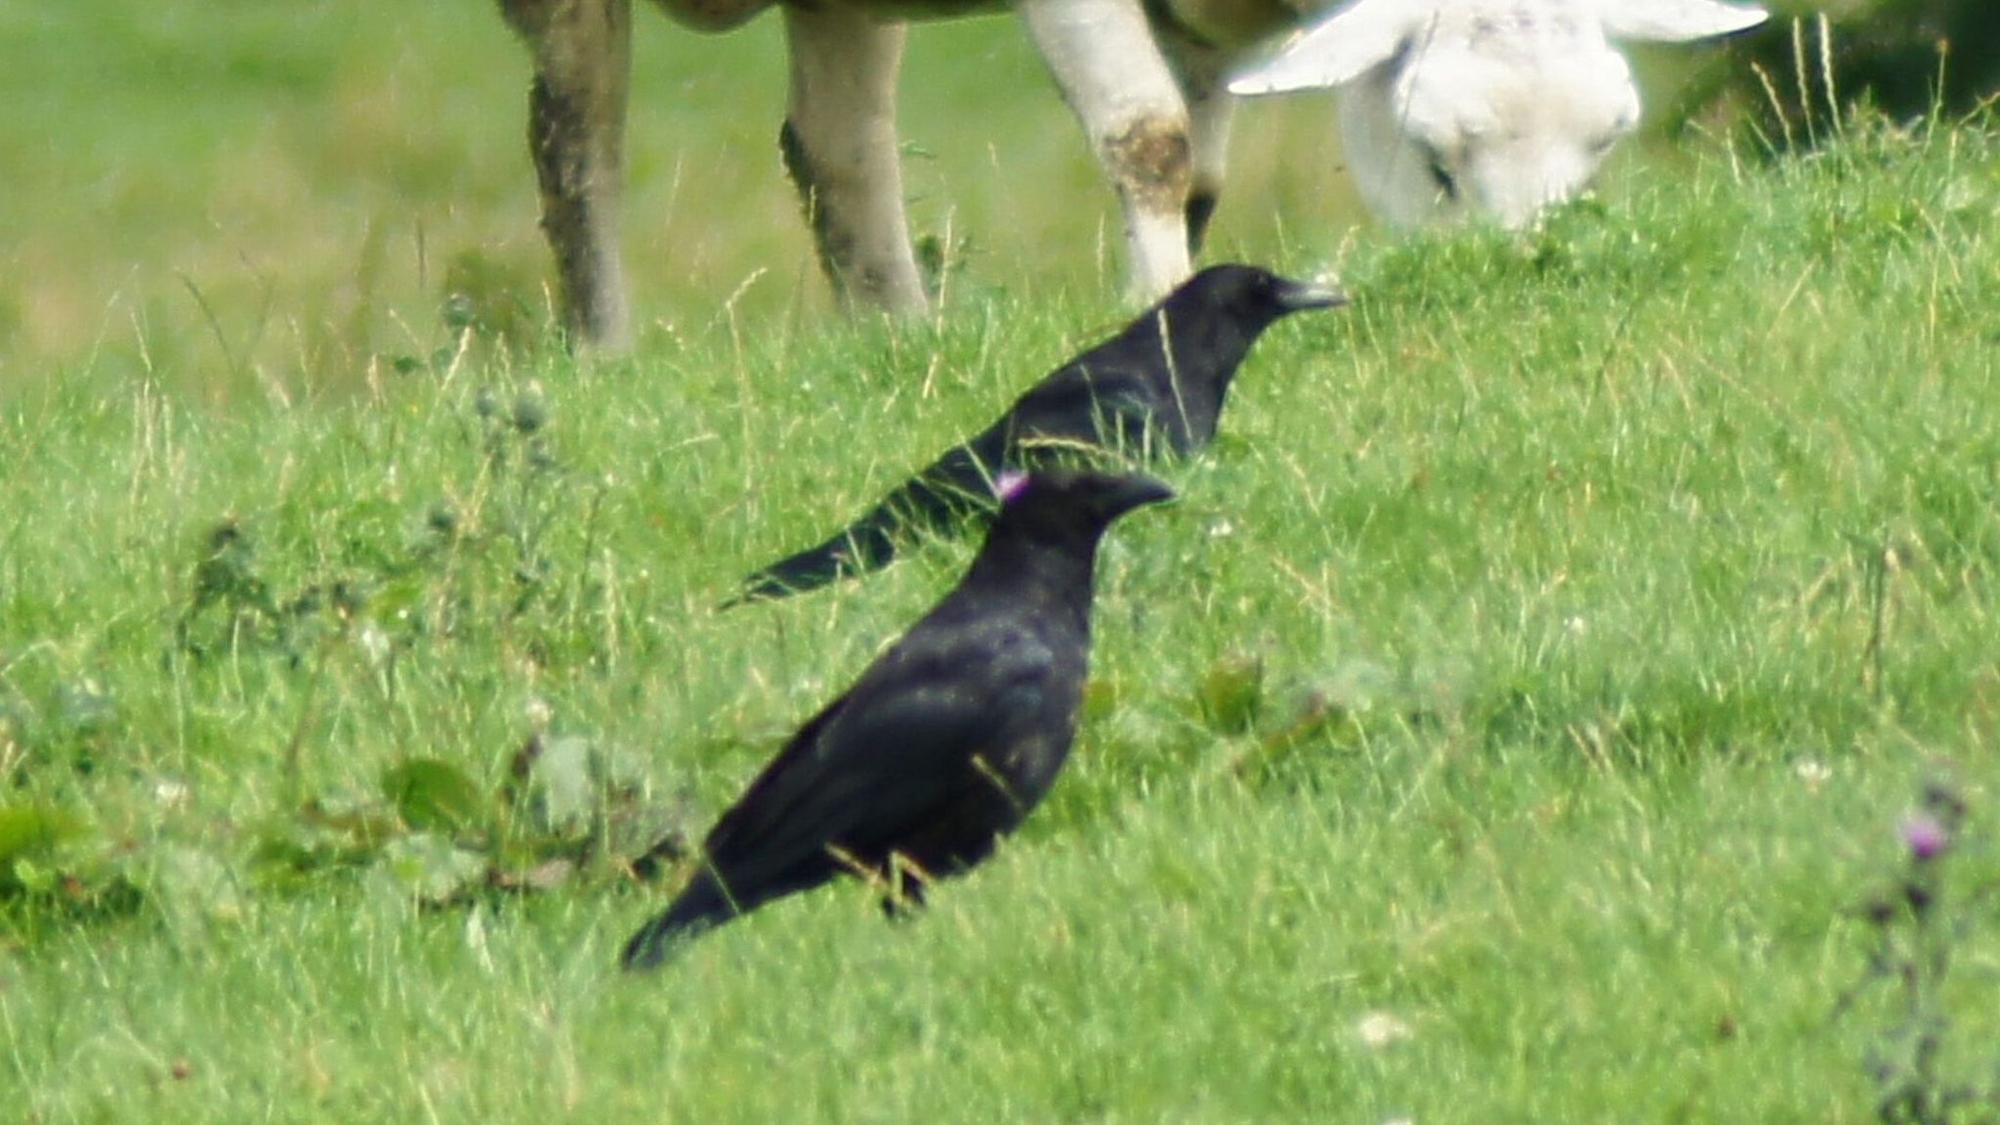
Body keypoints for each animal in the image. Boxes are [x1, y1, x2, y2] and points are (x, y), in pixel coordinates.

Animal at [496, 0, 1765, 350]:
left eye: (1604, 143)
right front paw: (1149, 311)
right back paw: (603, 350)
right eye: (1434, 163)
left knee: (834, 148)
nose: (1530, 272)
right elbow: (1148, 140)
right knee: (576, 144)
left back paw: (897, 333)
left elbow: (1198, 175)